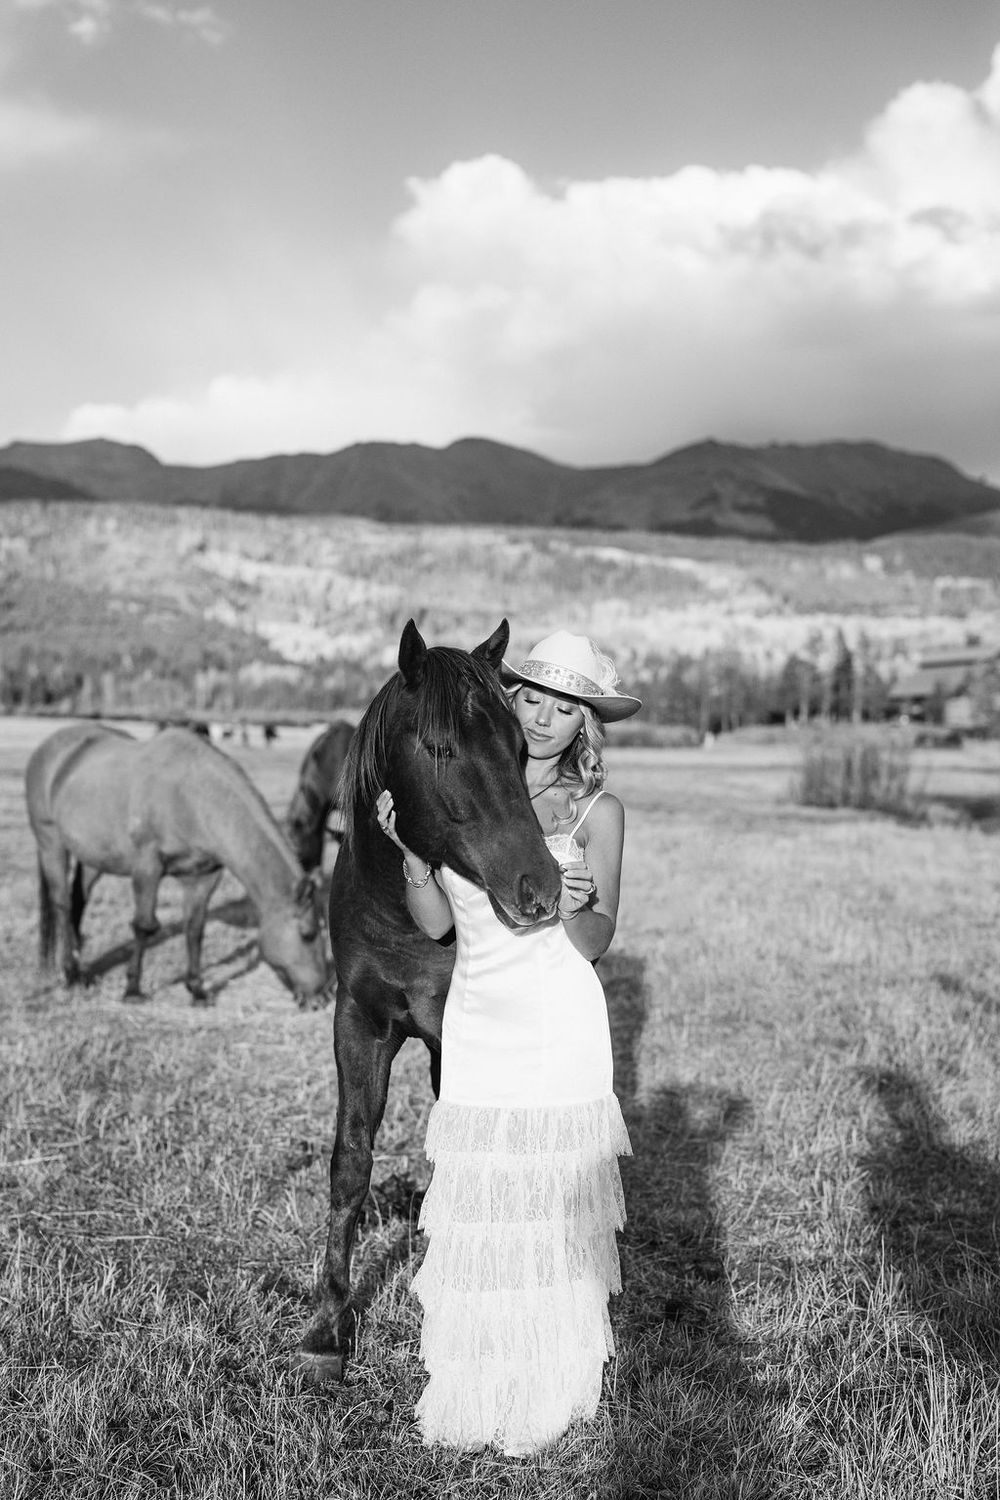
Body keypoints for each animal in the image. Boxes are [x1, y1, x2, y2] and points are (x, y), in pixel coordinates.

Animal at [25, 723, 330, 1006]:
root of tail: (49, 749)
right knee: (62, 903)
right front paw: (132, 990)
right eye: (308, 934)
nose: (321, 997)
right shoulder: (147, 866)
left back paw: (79, 964)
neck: (192, 797)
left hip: (95, 855)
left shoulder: (203, 876)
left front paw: (197, 990)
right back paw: (70, 973)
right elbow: (144, 926)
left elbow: (195, 928)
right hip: (51, 842)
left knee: (78, 900)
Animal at [295, 618, 563, 1380]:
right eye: (441, 748)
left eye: (519, 747)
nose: (540, 887)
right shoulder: (358, 1024)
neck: (400, 913)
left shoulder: (453, 1033)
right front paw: (327, 1327)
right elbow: (351, 1161)